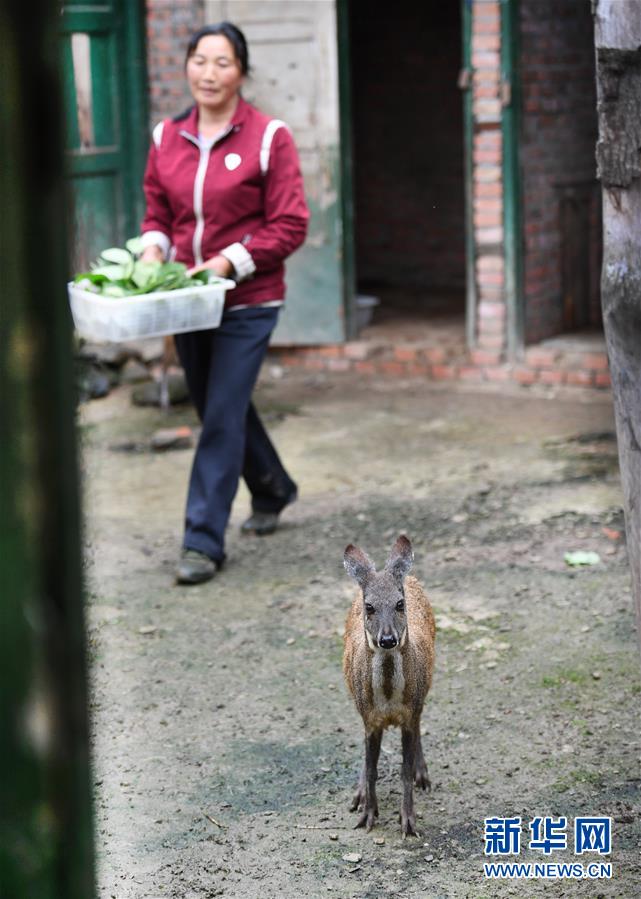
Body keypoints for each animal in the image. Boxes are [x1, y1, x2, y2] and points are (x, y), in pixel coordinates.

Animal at [340, 536, 436, 836]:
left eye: (400, 604)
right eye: (369, 606)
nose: (388, 639)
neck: (389, 699)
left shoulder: (409, 712)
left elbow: (404, 770)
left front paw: (408, 821)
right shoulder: (370, 718)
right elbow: (372, 769)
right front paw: (368, 814)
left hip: (425, 690)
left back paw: (423, 775)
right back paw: (359, 795)